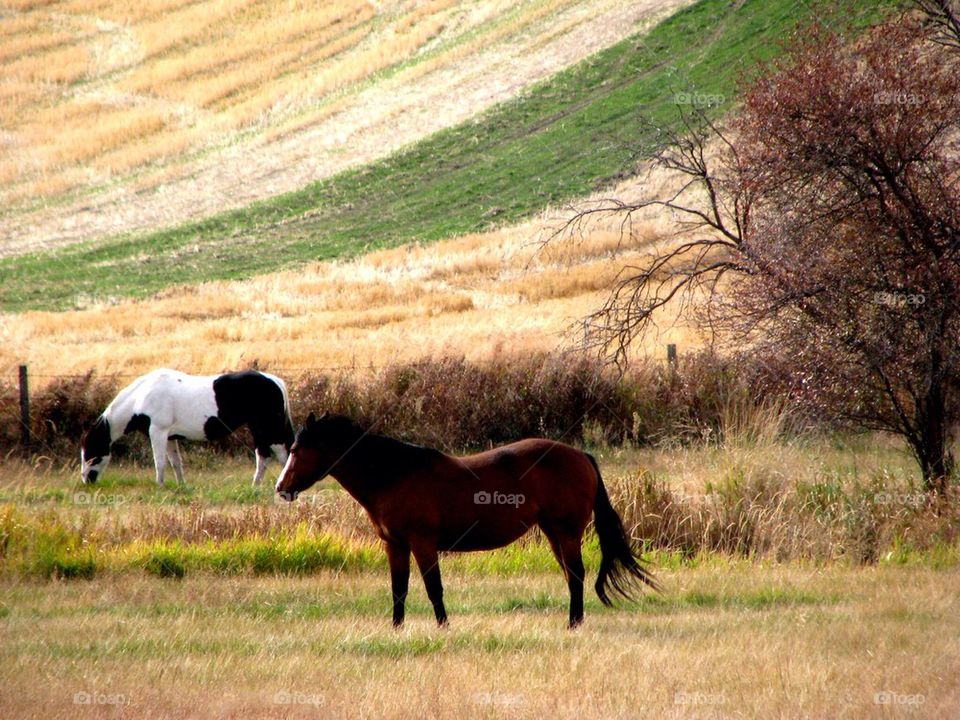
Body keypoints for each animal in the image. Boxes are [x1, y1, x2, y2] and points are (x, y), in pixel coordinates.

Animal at [81, 369, 294, 487]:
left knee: (281, 455)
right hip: (259, 429)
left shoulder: (158, 432)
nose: (86, 481)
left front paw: (160, 486)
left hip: (269, 429)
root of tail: (274, 381)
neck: (141, 397)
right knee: (264, 457)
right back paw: (255, 486)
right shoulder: (170, 437)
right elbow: (176, 463)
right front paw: (181, 485)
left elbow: (160, 462)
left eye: (91, 453)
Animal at [276, 412, 657, 628]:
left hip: (566, 531)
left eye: (296, 450)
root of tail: (580, 455)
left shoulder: (423, 543)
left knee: (576, 574)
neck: (395, 474)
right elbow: (399, 588)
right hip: (553, 532)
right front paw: (397, 629)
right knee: (570, 575)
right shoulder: (395, 545)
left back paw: (573, 624)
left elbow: (433, 587)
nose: (281, 488)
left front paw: (443, 627)